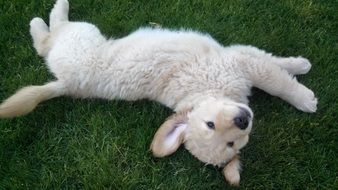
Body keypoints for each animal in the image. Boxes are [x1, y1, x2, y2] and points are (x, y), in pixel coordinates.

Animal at [0, 0, 316, 185]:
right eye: (211, 126)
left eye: (230, 143)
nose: (243, 120)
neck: (207, 91)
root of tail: (66, 83)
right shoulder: (238, 60)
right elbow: (275, 78)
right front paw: (304, 94)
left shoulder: (240, 61)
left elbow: (274, 70)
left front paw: (297, 67)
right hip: (82, 36)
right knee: (54, 32)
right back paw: (50, 13)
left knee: (45, 46)